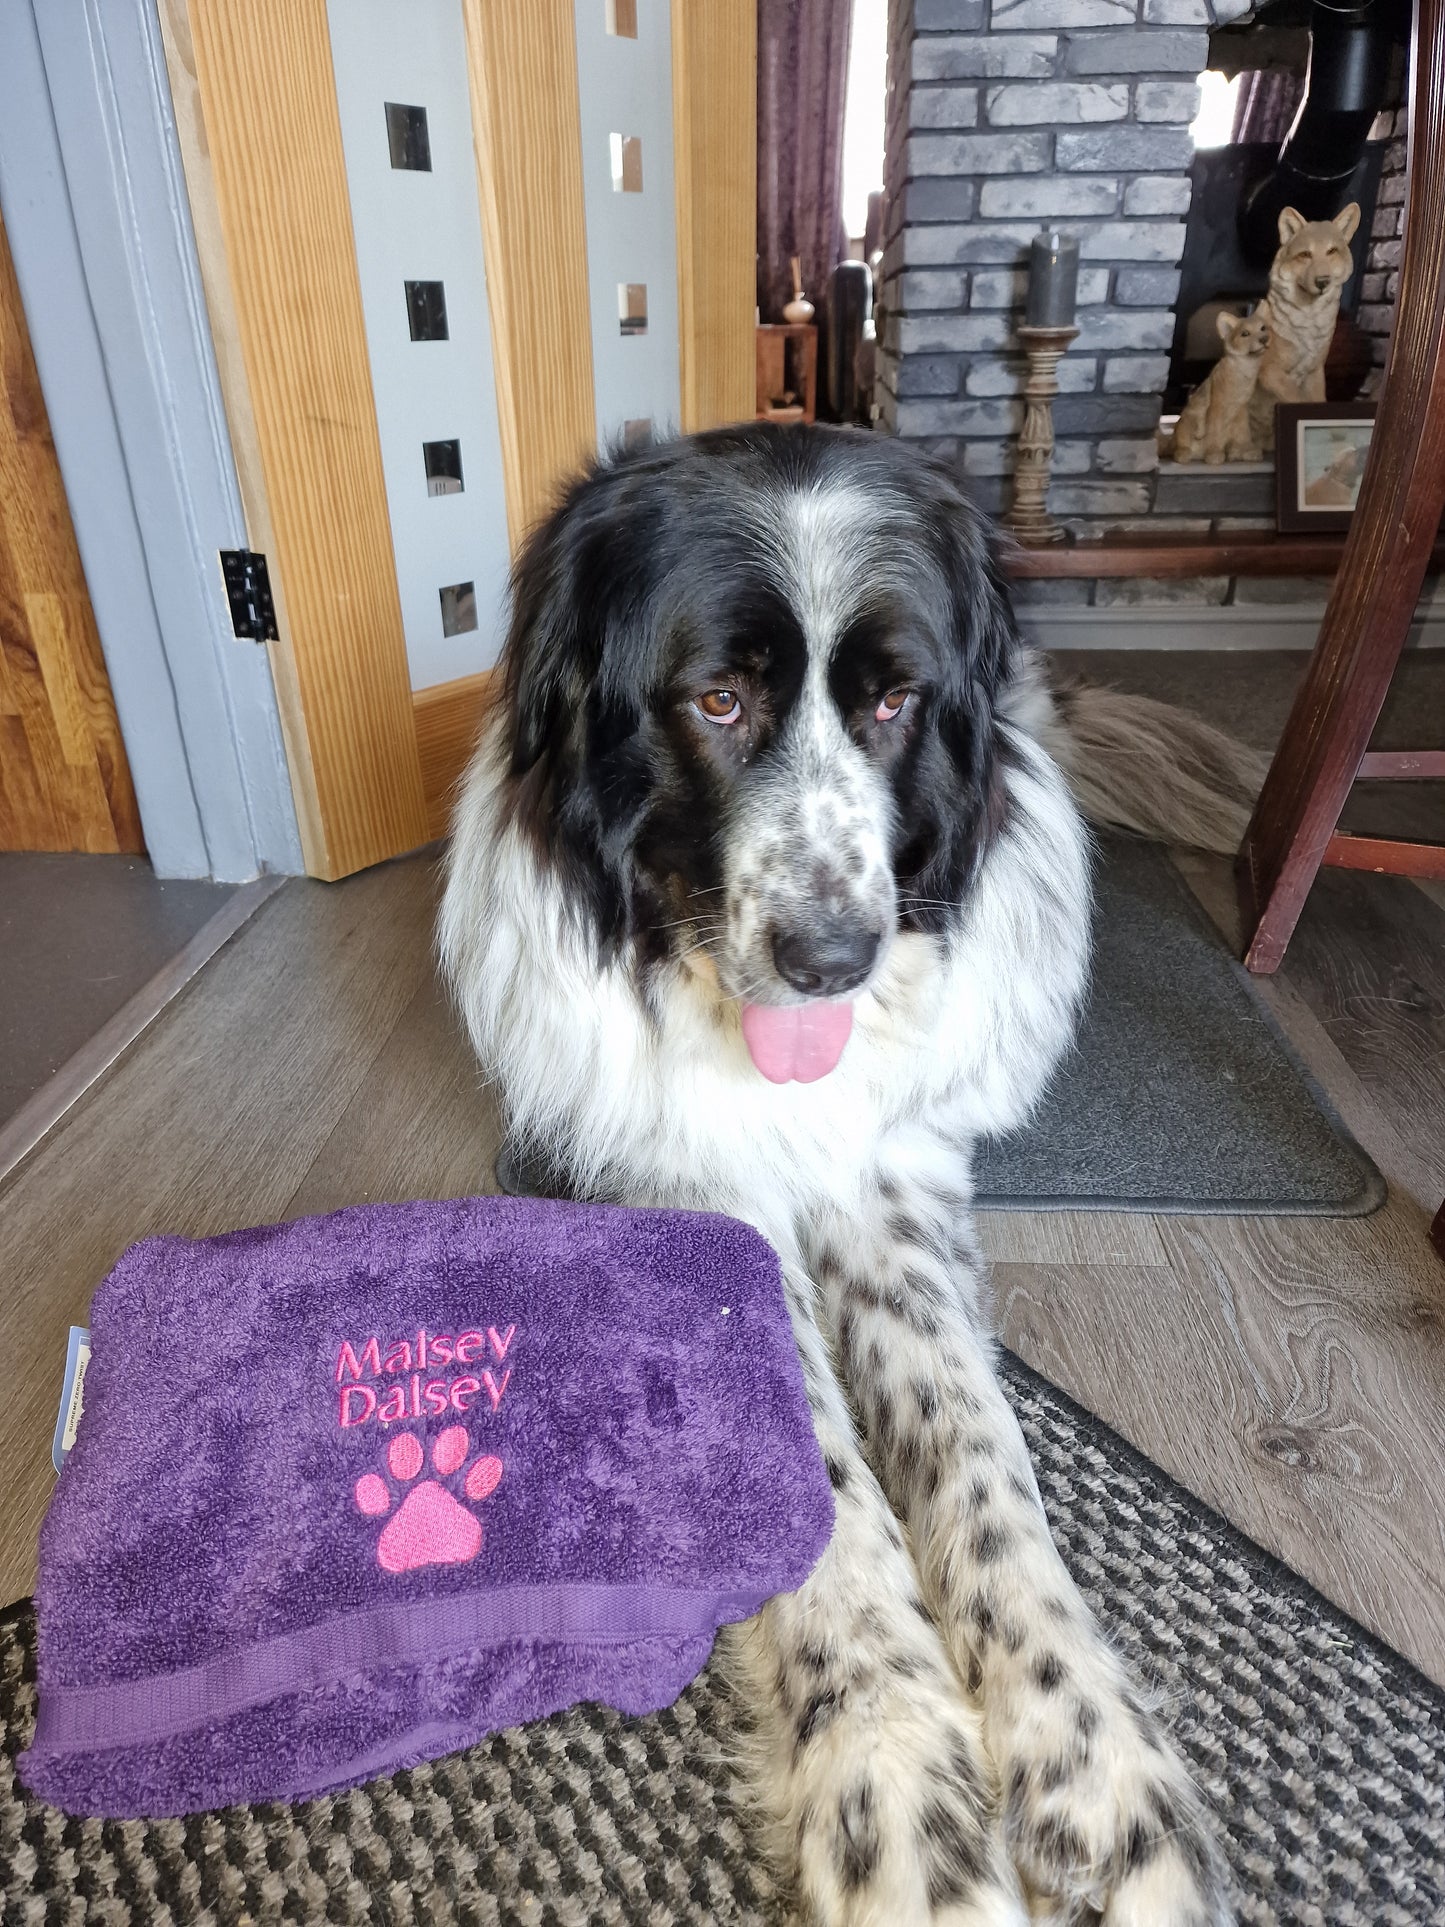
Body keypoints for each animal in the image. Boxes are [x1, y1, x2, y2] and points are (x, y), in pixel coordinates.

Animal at [435, 425, 1263, 1927]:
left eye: (893, 702)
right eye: (714, 699)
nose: (832, 958)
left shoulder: (892, 1183)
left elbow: (979, 1450)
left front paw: (1092, 1761)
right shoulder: (690, 1186)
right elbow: (814, 1472)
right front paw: (893, 1787)